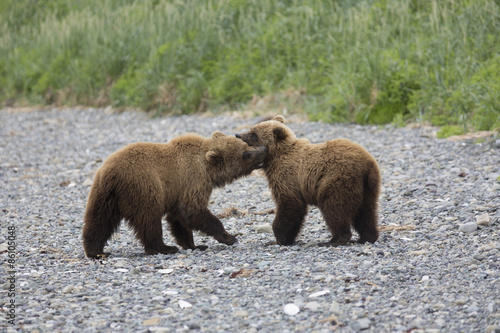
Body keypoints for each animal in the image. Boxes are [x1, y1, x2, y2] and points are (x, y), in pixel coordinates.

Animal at [82, 130, 268, 256]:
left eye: (247, 145)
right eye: (246, 153)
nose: (264, 149)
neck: (207, 168)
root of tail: (112, 174)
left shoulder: (178, 192)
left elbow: (179, 219)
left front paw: (195, 245)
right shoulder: (193, 181)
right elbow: (193, 210)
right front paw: (228, 237)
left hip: (104, 194)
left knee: (99, 220)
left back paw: (95, 250)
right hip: (144, 187)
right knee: (148, 220)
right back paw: (164, 247)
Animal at [236, 115, 380, 245]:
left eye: (253, 134)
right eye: (251, 129)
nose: (238, 135)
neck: (274, 158)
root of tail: (367, 164)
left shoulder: (287, 175)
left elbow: (290, 204)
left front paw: (278, 238)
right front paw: (287, 239)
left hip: (337, 179)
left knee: (334, 208)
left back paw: (335, 239)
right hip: (368, 188)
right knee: (366, 212)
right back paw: (366, 237)